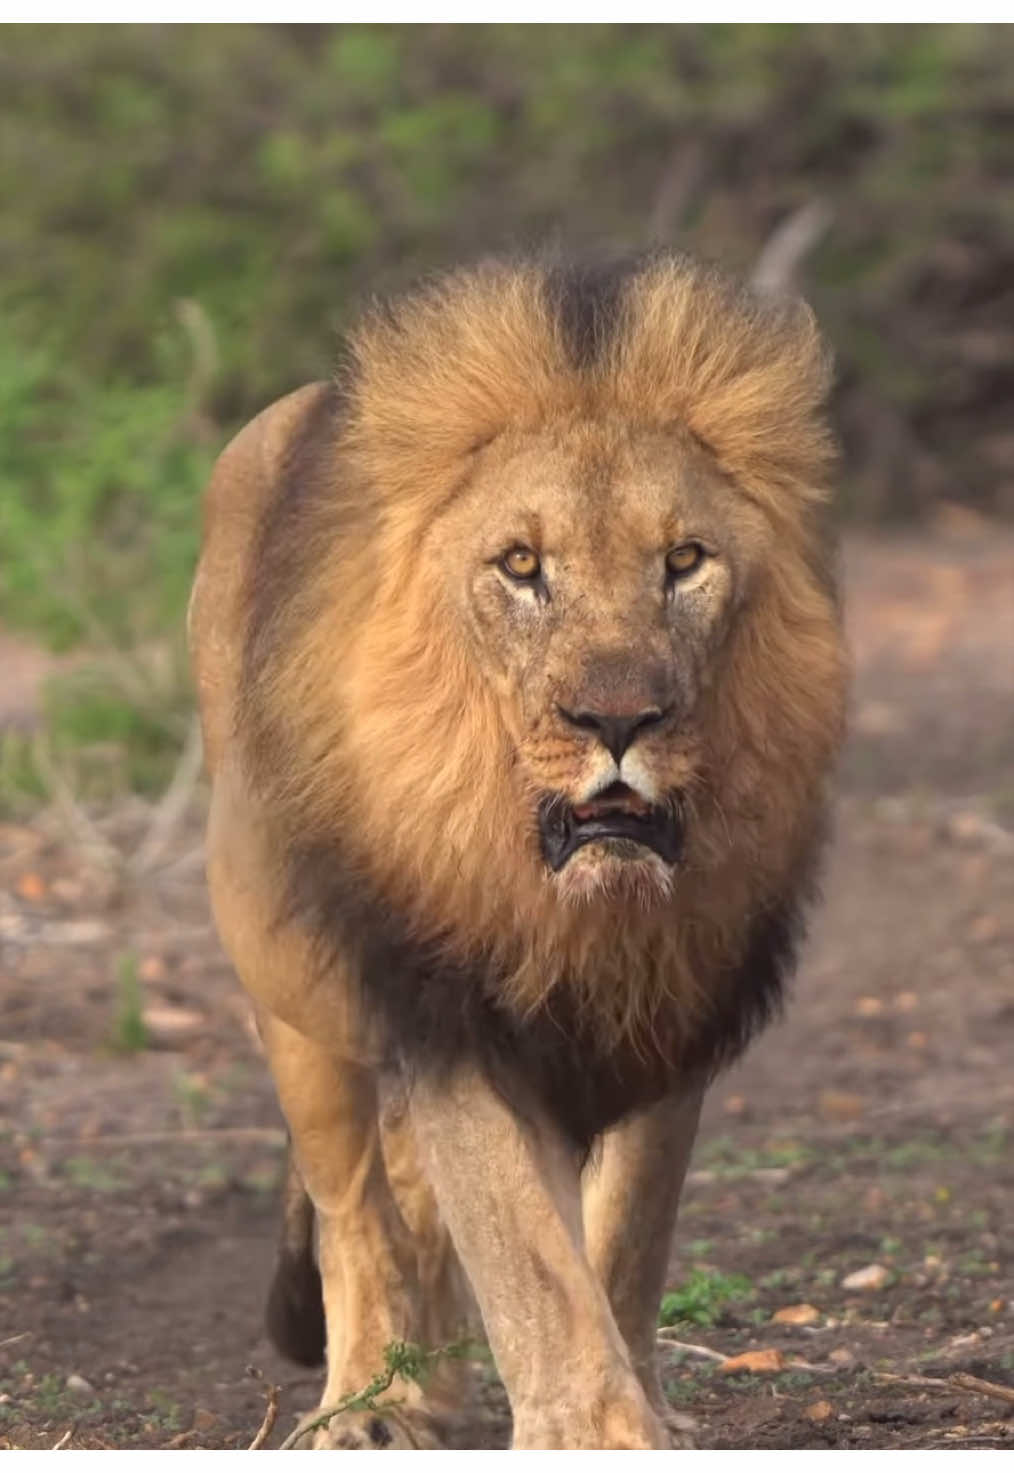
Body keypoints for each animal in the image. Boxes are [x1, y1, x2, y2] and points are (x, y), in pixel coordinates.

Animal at [187, 253, 848, 1449]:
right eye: (521, 566)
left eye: (685, 561)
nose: (618, 719)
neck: (582, 908)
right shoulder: (451, 1006)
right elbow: (529, 1257)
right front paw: (592, 1432)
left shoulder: (677, 1007)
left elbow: (625, 1238)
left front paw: (647, 1413)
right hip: (288, 976)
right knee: (354, 1207)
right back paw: (369, 1403)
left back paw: (435, 1380)